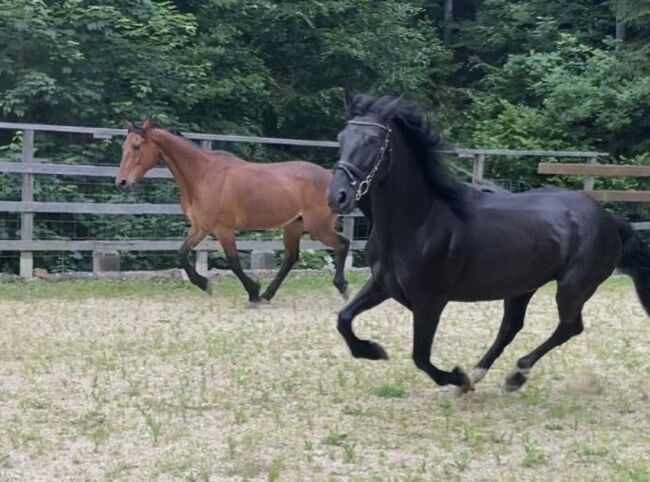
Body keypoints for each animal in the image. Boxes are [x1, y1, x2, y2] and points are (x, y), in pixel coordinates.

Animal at [116, 117, 350, 302]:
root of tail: (332, 177)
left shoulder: (223, 229)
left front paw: (252, 291)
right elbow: (181, 254)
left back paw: (342, 287)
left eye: (136, 146)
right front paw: (205, 284)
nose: (122, 182)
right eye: (123, 147)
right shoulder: (200, 227)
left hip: (317, 226)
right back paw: (268, 295)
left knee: (342, 244)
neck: (203, 176)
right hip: (293, 226)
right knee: (291, 258)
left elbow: (234, 262)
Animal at [326, 95, 648, 396]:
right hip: (522, 287)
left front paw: (457, 378)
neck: (418, 222)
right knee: (511, 327)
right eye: (341, 138)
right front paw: (372, 351)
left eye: (372, 140)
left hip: (573, 287)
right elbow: (343, 319)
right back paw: (481, 373)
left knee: (569, 326)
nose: (337, 196)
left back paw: (513, 375)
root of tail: (607, 217)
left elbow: (421, 357)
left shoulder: (429, 301)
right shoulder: (382, 284)